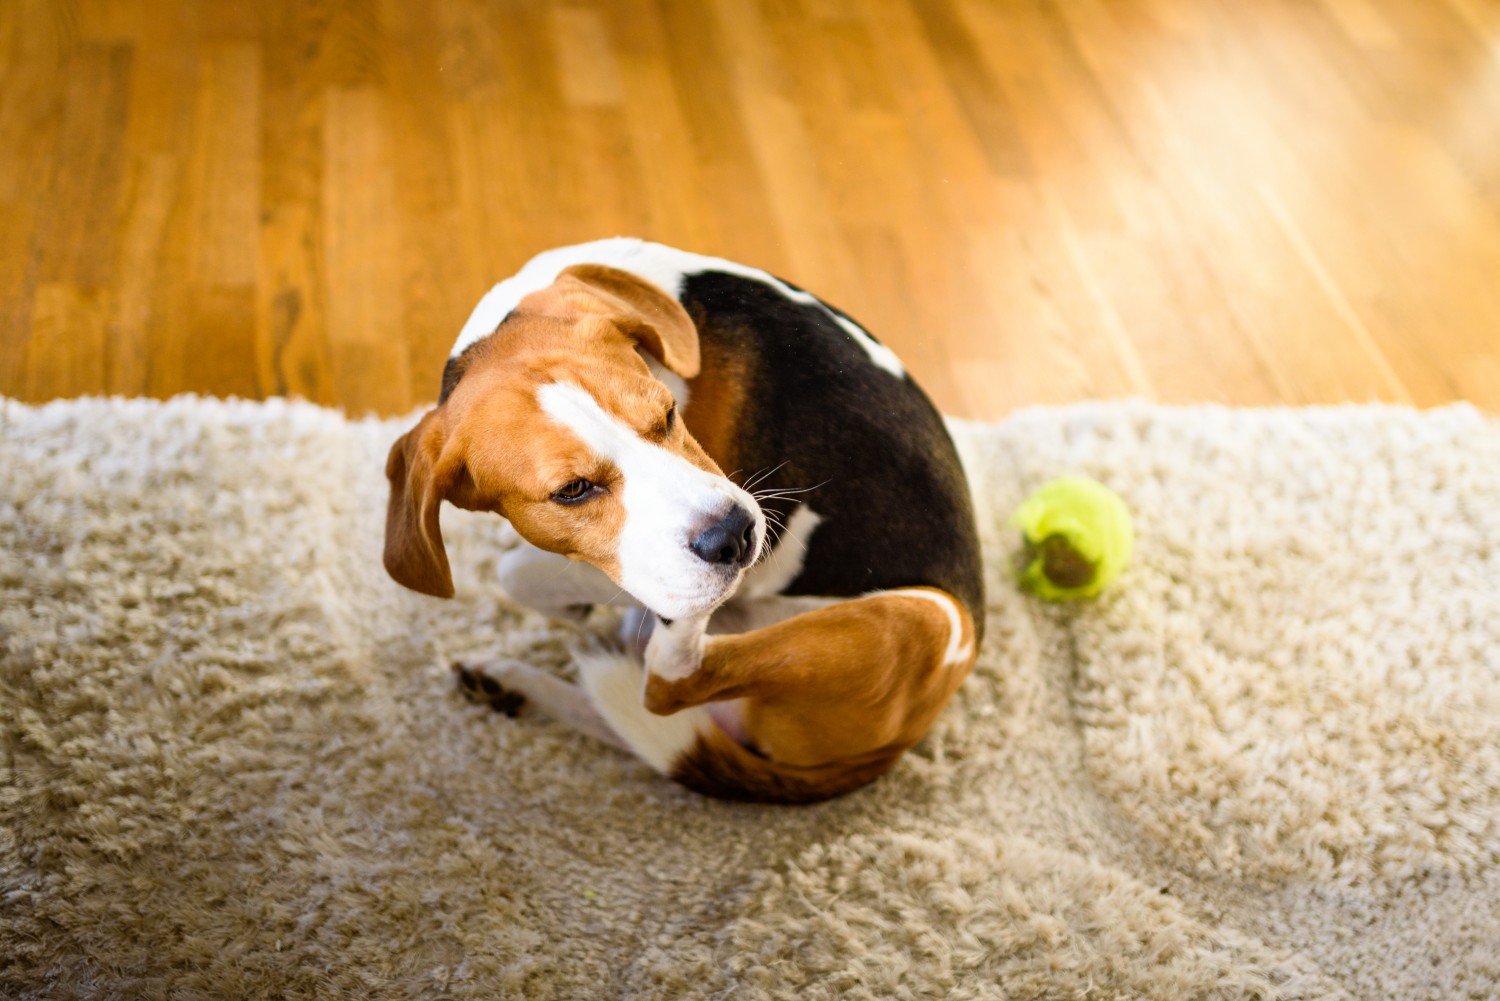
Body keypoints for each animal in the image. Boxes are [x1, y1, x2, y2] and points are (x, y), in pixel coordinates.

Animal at [384, 238, 984, 804]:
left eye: (669, 413)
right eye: (572, 491)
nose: (735, 537)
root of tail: (897, 743)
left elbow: (519, 571)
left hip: (930, 618)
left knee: (668, 685)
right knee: (644, 720)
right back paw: (513, 682)